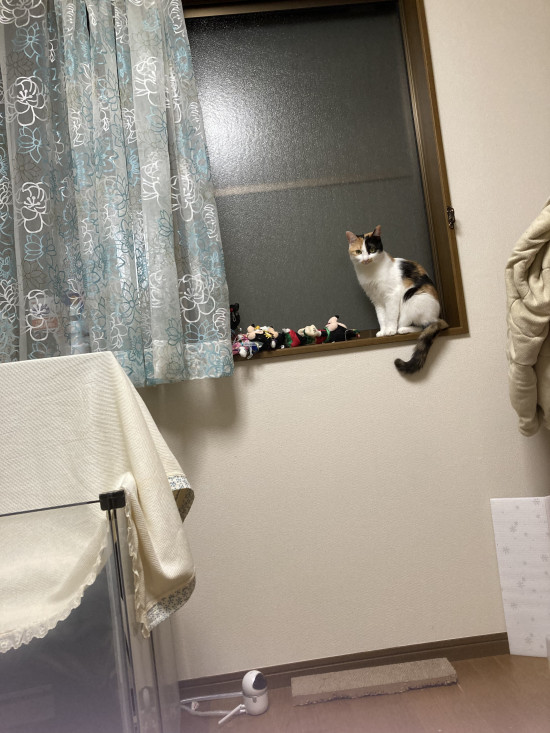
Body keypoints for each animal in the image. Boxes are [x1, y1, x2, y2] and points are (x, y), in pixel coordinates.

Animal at [346, 225, 448, 373]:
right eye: (359, 251)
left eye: (372, 250)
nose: (365, 259)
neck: (370, 272)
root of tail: (438, 317)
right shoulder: (376, 300)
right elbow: (381, 317)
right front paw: (383, 331)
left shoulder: (392, 295)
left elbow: (391, 315)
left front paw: (390, 330)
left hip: (411, 299)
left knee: (423, 326)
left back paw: (402, 329)